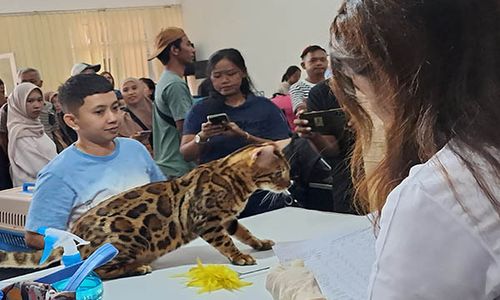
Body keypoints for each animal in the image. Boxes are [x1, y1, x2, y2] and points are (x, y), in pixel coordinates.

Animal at [0, 142, 290, 278]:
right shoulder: (206, 220)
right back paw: (137, 268)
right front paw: (240, 257)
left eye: (287, 171)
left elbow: (244, 232)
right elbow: (227, 242)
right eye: (279, 173)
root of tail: (75, 234)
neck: (235, 181)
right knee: (94, 269)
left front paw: (260, 243)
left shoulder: (227, 219)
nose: (290, 183)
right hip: (128, 239)